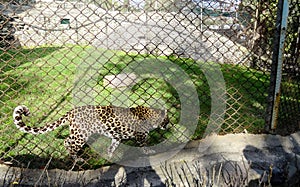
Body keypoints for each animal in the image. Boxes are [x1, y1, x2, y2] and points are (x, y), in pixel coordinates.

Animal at [13, 104, 169, 160]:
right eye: (167, 119)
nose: (169, 125)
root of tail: (70, 112)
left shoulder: (117, 137)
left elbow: (112, 147)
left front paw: (110, 156)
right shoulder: (140, 136)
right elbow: (144, 145)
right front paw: (149, 152)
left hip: (77, 133)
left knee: (67, 141)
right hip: (81, 134)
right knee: (69, 142)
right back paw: (76, 158)